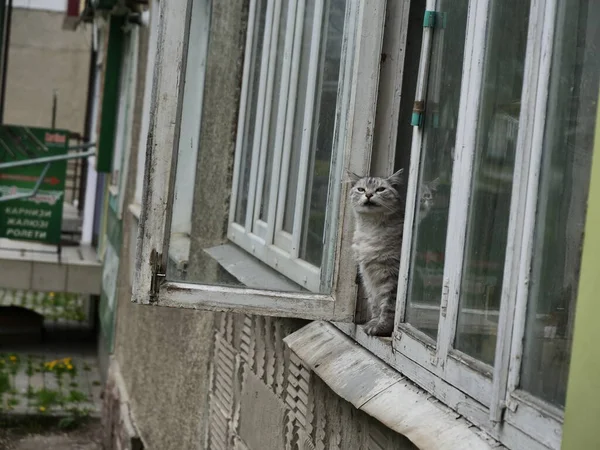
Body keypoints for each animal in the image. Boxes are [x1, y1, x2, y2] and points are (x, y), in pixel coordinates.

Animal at [352, 171, 440, 336]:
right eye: (361, 189)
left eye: (380, 189)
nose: (368, 194)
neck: (370, 229)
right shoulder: (368, 275)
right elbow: (375, 303)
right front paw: (374, 322)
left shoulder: (392, 274)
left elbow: (388, 306)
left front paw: (382, 327)